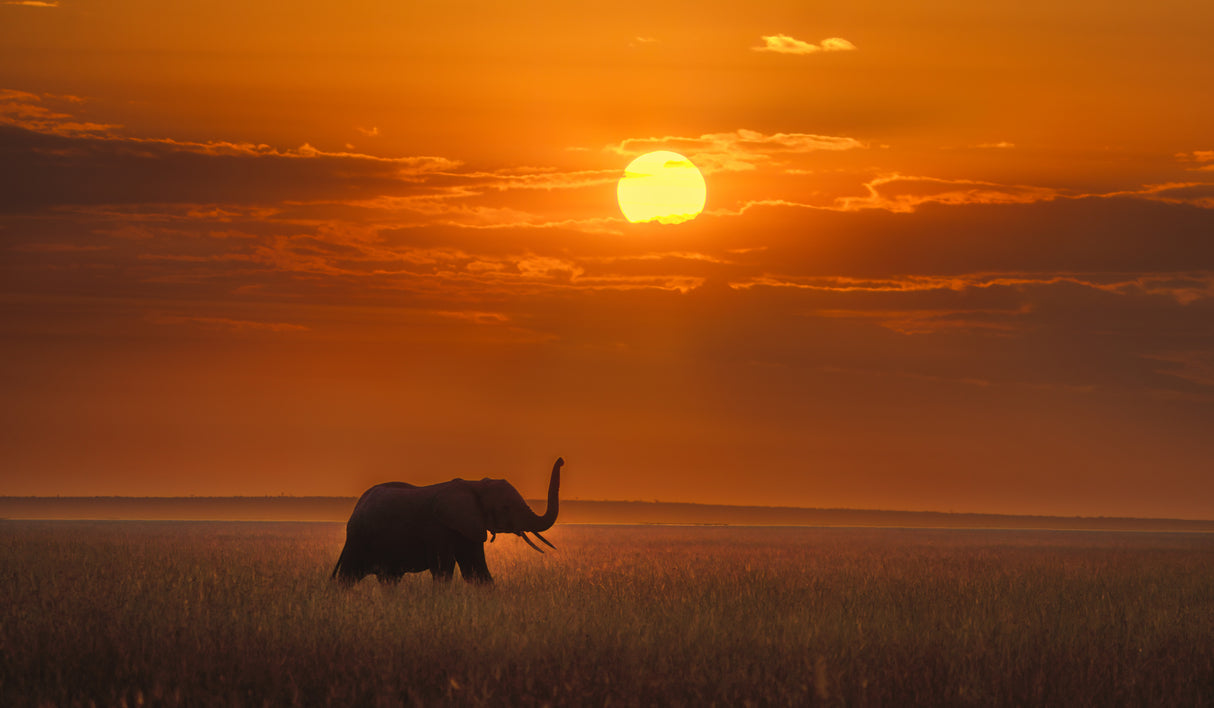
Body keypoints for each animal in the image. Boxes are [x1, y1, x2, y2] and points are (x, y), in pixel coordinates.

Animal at [331, 457, 563, 585]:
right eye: (506, 508)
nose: (561, 460)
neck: (474, 484)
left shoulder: (469, 526)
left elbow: (476, 572)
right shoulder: (437, 529)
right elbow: (443, 571)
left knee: (389, 580)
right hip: (359, 539)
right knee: (347, 577)